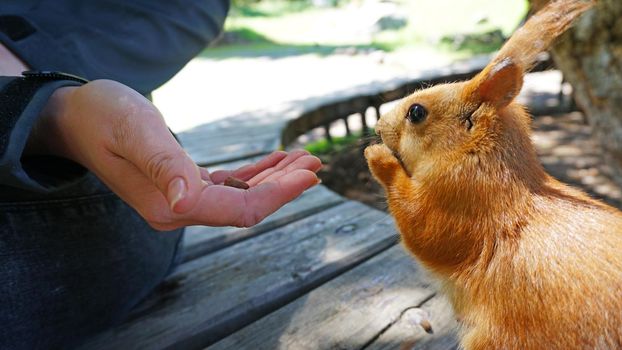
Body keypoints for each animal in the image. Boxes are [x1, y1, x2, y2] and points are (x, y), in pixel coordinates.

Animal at [368, 1, 620, 348]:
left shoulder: (459, 202)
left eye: (416, 112)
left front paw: (377, 155)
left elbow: (421, 228)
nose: (378, 126)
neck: (481, 158)